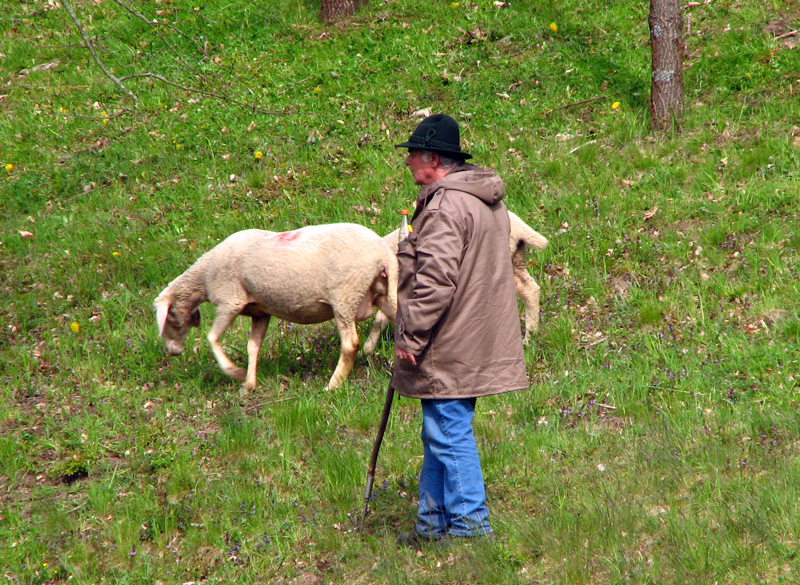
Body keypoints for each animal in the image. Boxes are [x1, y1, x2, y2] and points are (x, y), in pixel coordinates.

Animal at [152, 224, 396, 392]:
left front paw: (235, 372)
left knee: (350, 343)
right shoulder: (260, 311)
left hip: (345, 295)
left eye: (169, 319)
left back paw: (333, 385)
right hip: (382, 293)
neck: (205, 274)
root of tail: (382, 252)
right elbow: (253, 346)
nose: (172, 351)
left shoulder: (230, 301)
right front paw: (248, 384)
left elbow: (212, 338)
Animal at [364, 212, 548, 354]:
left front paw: (368, 347)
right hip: (516, 259)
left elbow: (382, 317)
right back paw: (530, 336)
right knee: (530, 289)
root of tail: (519, 225)